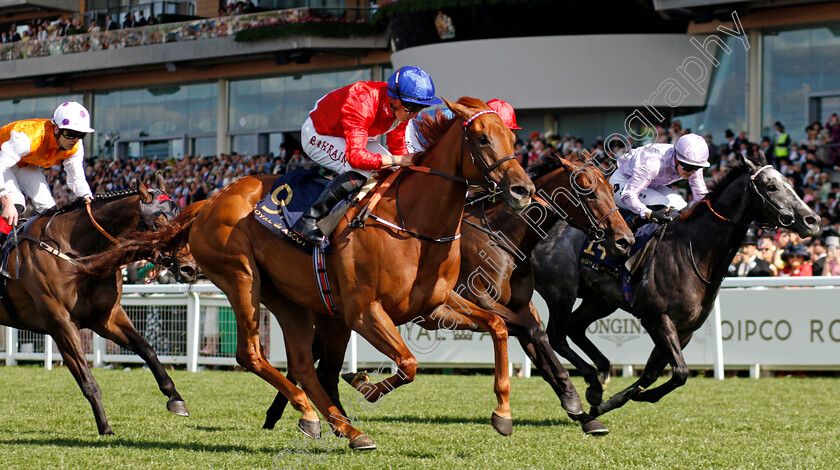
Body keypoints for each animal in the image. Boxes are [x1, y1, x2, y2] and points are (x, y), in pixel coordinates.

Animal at [80, 97, 540, 450]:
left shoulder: (433, 306)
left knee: (303, 365)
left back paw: (341, 426)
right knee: (252, 354)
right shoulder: (364, 312)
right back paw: (317, 415)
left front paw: (502, 412)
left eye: (513, 138)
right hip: (243, 278)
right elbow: (408, 363)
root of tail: (211, 199)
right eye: (481, 138)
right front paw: (366, 383)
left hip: (292, 301)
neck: (413, 224)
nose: (523, 190)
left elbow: (498, 325)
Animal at [536, 150, 816, 414]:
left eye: (790, 182)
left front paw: (617, 399)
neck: (695, 251)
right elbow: (680, 372)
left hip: (601, 300)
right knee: (557, 336)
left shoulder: (685, 328)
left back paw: (602, 374)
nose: (812, 220)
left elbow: (653, 373)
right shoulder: (656, 317)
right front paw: (638, 395)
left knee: (575, 327)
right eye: (771, 186)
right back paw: (593, 379)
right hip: (561, 292)